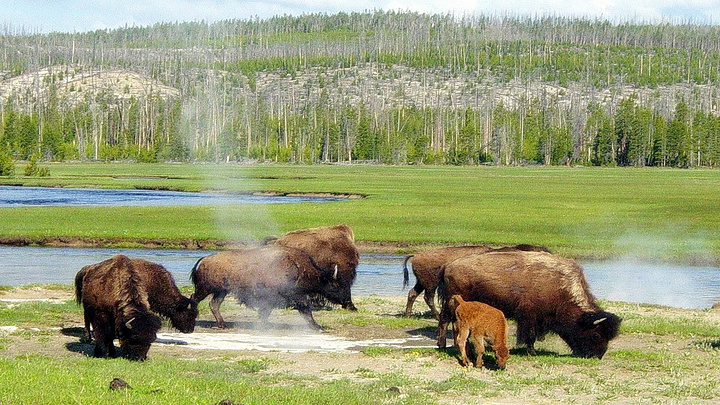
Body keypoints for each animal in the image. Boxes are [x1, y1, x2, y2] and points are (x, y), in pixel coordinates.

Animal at [188, 243, 346, 328]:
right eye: (334, 284)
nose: (345, 301)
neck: (298, 267)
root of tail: (205, 259)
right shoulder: (293, 296)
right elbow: (306, 311)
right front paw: (318, 327)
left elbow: (266, 312)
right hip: (205, 289)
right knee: (195, 298)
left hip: (221, 291)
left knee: (214, 304)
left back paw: (223, 325)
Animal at [402, 243, 548, 318]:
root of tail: (416, 255)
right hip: (430, 284)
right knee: (428, 298)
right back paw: (437, 316)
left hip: (422, 283)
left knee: (413, 293)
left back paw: (408, 315)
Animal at [436, 251, 620, 358]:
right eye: (596, 335)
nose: (597, 356)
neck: (559, 287)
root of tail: (448, 265)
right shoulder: (529, 315)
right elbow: (529, 335)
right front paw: (532, 352)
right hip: (452, 303)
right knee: (445, 320)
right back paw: (443, 345)